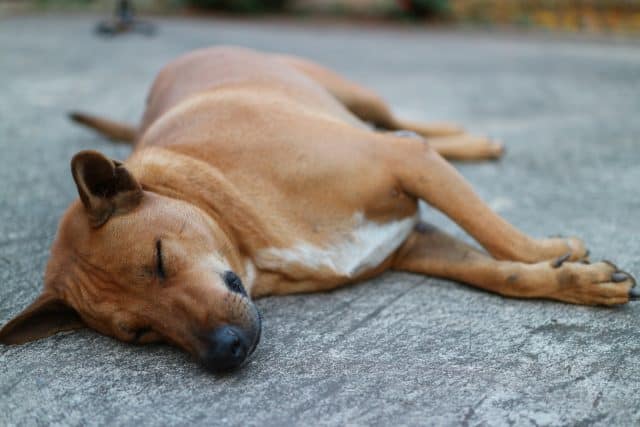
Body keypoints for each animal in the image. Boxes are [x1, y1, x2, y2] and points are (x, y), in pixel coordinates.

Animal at [2, 46, 636, 372]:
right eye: (138, 333)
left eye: (158, 259)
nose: (225, 354)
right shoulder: (411, 244)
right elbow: (502, 274)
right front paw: (574, 280)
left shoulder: (406, 161)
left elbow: (499, 234)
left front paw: (554, 250)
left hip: (353, 94)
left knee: (405, 121)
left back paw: (473, 141)